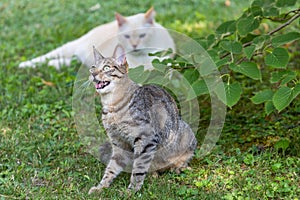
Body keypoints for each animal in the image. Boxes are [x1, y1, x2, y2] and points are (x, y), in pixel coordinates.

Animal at [18, 7, 175, 70]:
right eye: (127, 36)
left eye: (142, 35)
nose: (135, 46)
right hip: (69, 47)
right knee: (46, 57)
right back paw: (24, 65)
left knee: (66, 62)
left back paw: (53, 65)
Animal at [88, 45, 197, 194]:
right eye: (93, 67)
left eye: (106, 68)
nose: (93, 74)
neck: (112, 106)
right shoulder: (118, 143)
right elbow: (111, 168)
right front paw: (101, 186)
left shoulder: (146, 140)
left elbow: (138, 169)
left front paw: (132, 190)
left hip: (186, 136)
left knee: (183, 160)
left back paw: (178, 167)